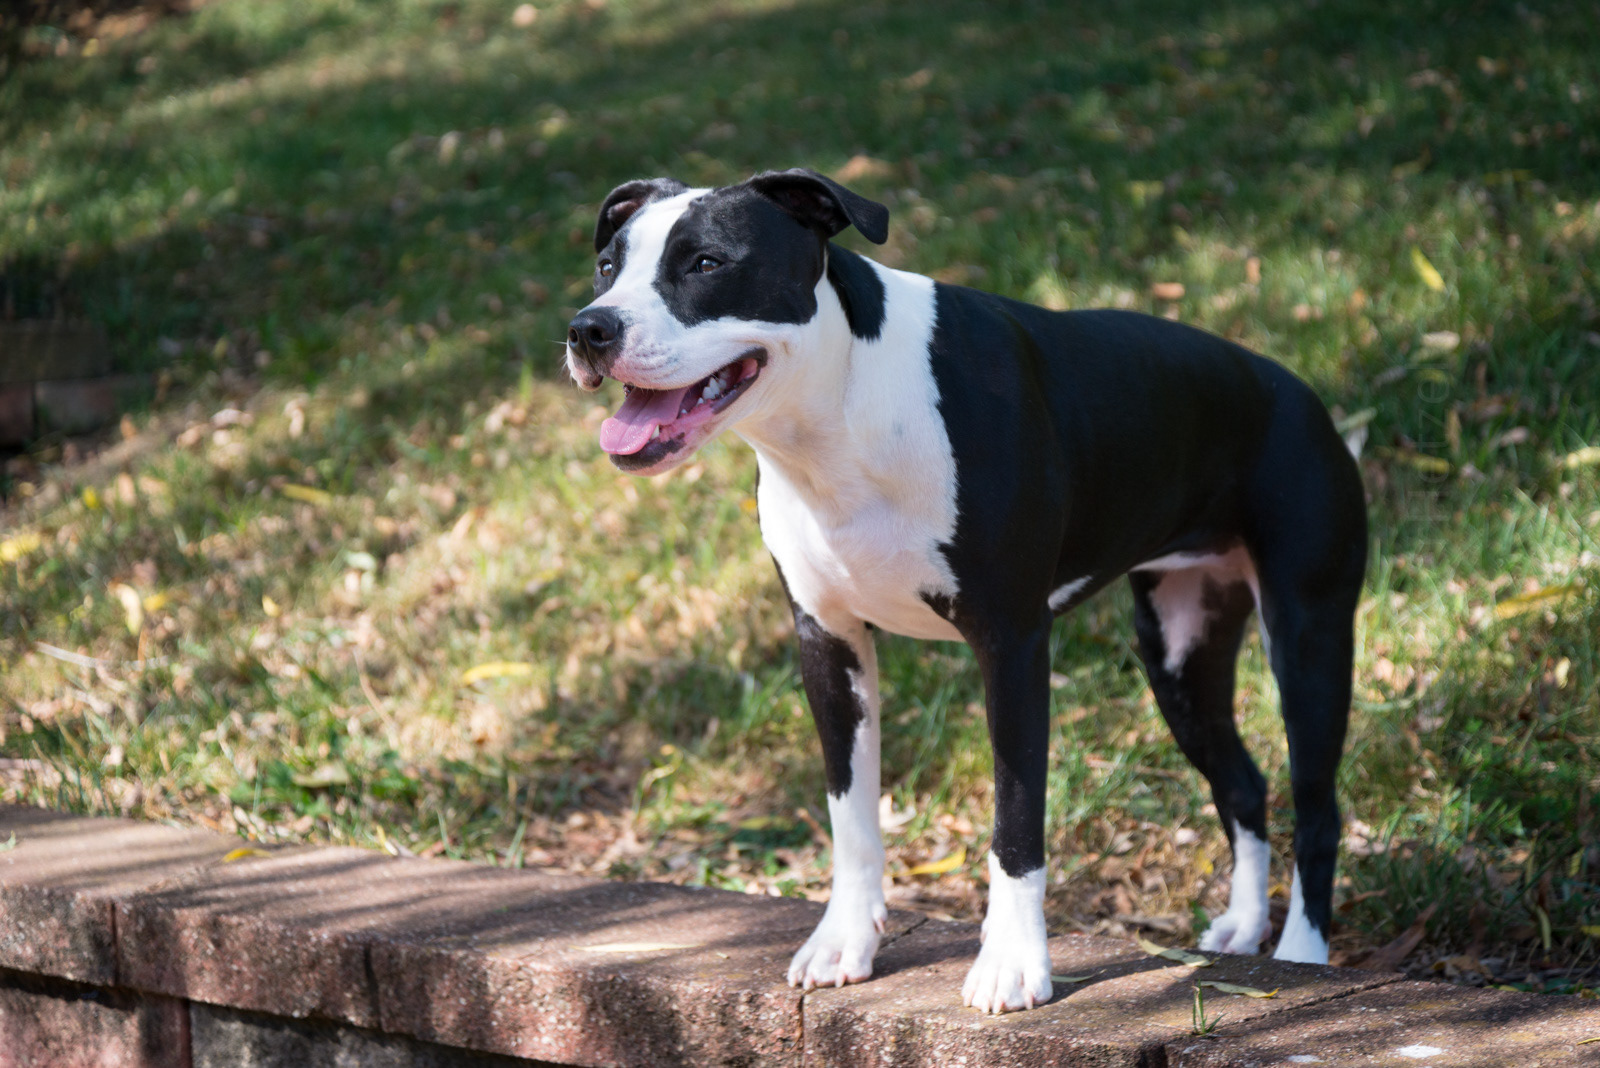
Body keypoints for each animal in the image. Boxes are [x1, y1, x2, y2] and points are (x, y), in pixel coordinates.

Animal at [564, 169, 1366, 1013]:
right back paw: (1244, 928)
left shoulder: (1011, 645)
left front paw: (1012, 964)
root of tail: (1296, 391)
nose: (589, 329)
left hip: (1309, 640)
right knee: (1242, 785)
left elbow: (1015, 820)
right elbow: (851, 816)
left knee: (1317, 805)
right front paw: (844, 942)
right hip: (1181, 657)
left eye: (708, 262)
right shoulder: (828, 643)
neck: (841, 413)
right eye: (608, 267)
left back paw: (1303, 953)